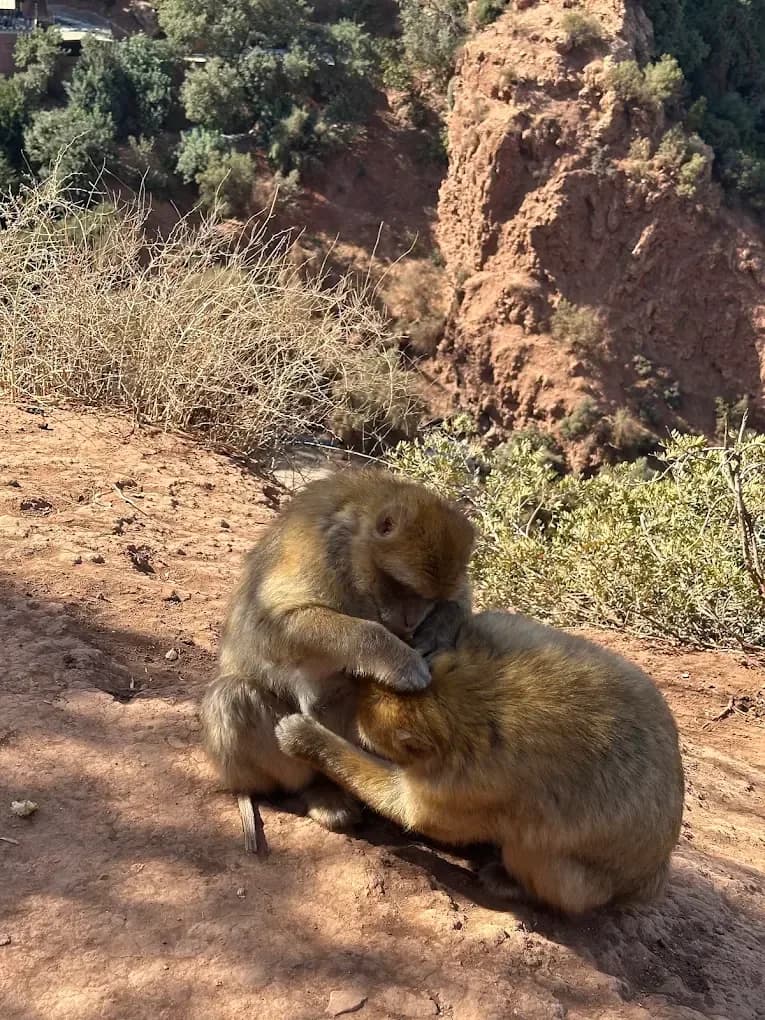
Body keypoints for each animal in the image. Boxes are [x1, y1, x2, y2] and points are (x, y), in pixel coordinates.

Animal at [200, 467, 475, 853]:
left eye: (429, 598)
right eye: (402, 587)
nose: (410, 622)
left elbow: (462, 601)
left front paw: (435, 634)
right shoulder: (317, 551)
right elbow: (268, 626)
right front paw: (401, 660)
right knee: (232, 695)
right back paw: (317, 788)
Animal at [275, 609, 685, 914]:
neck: (471, 697)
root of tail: (651, 878)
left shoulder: (467, 782)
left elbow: (411, 810)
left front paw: (308, 738)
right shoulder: (501, 630)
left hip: (589, 886)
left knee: (536, 848)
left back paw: (512, 883)